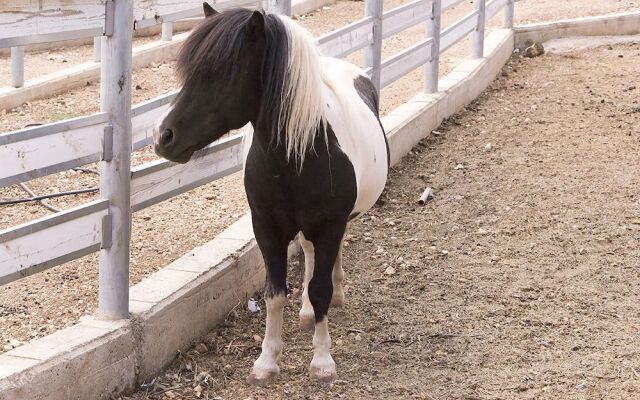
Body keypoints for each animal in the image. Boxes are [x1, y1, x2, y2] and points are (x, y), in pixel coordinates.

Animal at [152, 2, 388, 384]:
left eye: (223, 72)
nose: (163, 136)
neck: (297, 156)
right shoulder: (266, 227)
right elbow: (275, 293)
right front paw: (266, 361)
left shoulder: (329, 224)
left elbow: (320, 289)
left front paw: (322, 360)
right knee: (307, 253)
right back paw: (305, 312)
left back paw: (336, 293)